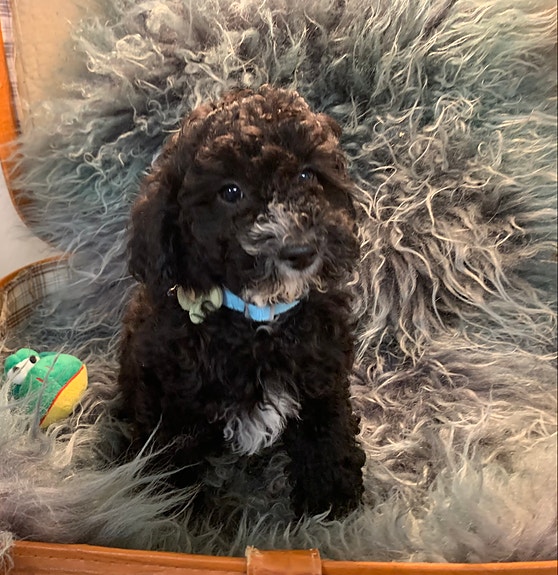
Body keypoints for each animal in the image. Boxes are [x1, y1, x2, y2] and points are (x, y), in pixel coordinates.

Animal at [117, 85, 365, 518]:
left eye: (307, 175)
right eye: (231, 192)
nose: (301, 252)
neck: (261, 319)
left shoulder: (324, 372)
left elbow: (327, 426)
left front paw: (333, 498)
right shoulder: (171, 397)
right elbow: (171, 455)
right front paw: (166, 511)